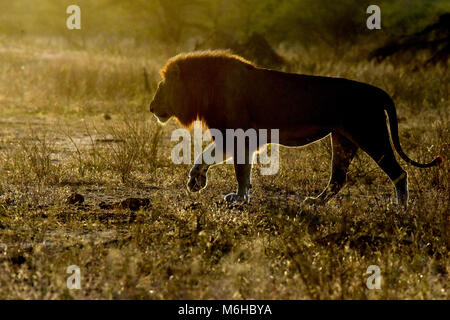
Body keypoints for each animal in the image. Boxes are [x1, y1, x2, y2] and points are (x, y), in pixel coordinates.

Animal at [149, 49, 442, 205]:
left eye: (161, 86)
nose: (151, 107)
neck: (204, 89)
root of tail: (377, 91)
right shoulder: (239, 137)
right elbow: (217, 160)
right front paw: (200, 182)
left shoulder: (239, 134)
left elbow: (236, 169)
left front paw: (236, 198)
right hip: (343, 139)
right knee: (338, 178)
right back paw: (316, 202)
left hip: (371, 134)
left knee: (399, 173)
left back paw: (399, 208)